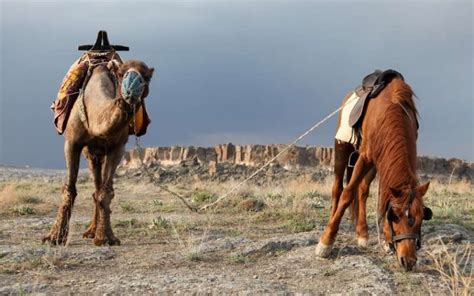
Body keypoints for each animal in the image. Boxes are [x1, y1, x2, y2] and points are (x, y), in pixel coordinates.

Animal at [42, 59, 154, 246]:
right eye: (121, 74)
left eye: (147, 77)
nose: (131, 89)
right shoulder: (72, 143)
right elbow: (69, 189)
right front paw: (54, 237)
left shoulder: (117, 147)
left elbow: (106, 192)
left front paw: (106, 238)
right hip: (91, 154)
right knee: (95, 184)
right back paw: (89, 231)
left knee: (98, 188)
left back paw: (92, 231)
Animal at [316, 78, 432, 270]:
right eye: (395, 216)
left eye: (422, 217)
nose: (409, 261)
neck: (390, 112)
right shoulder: (365, 157)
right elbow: (347, 194)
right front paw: (326, 241)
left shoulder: (384, 162)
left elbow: (382, 200)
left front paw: (386, 238)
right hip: (342, 150)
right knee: (338, 188)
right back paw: (332, 221)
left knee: (362, 191)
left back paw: (362, 233)